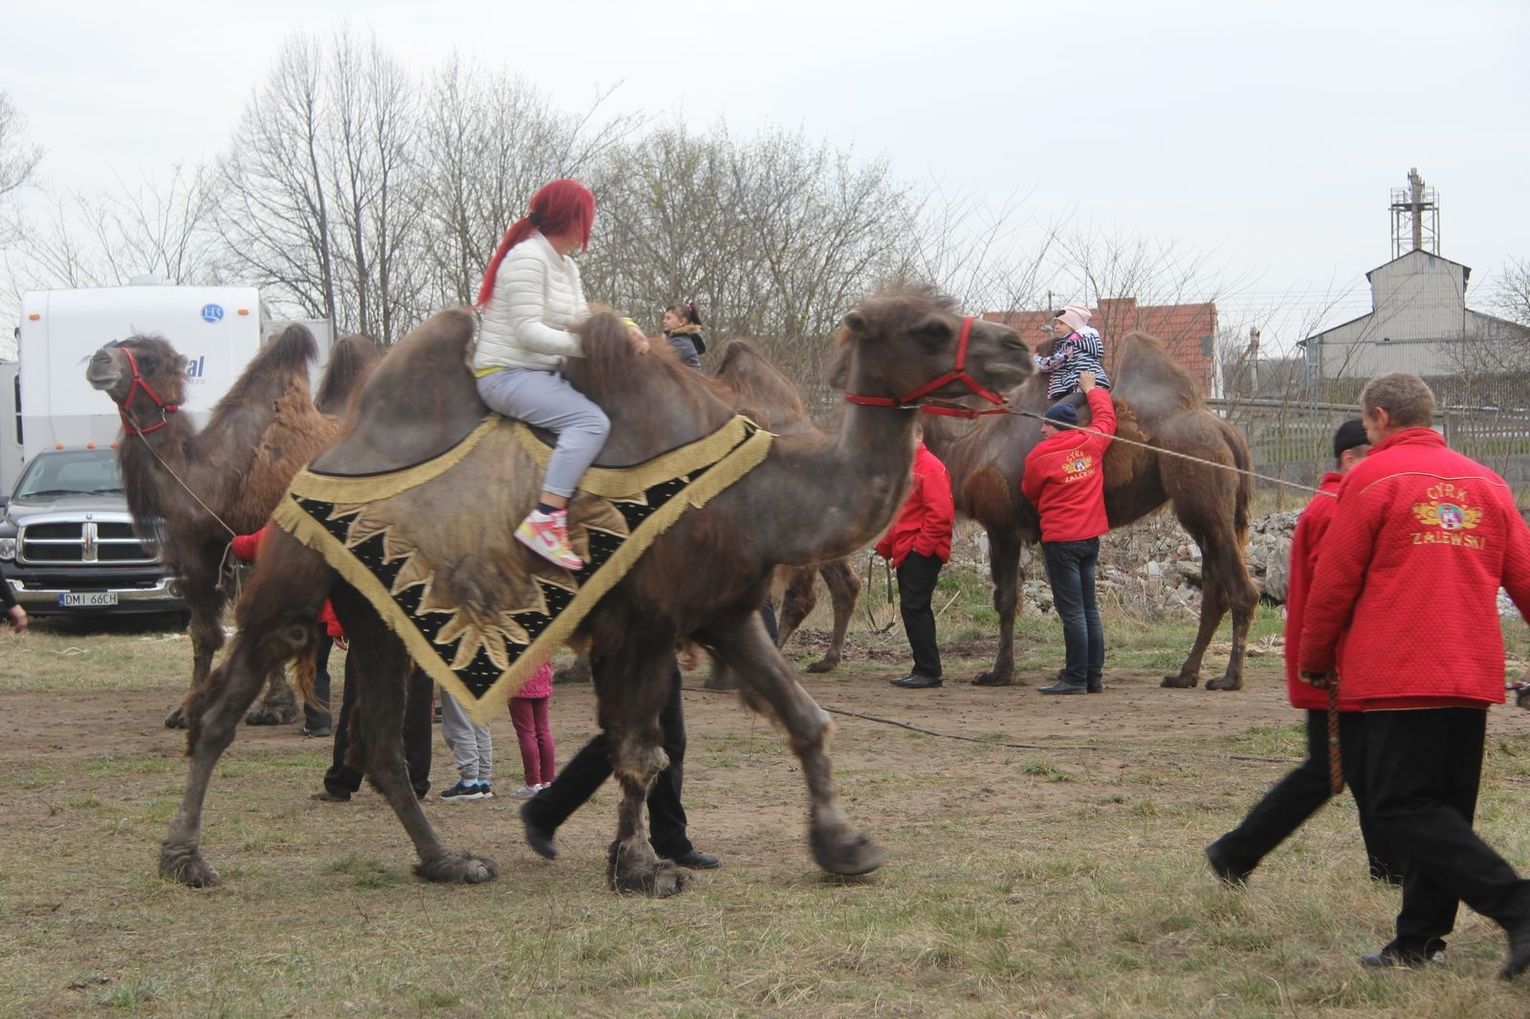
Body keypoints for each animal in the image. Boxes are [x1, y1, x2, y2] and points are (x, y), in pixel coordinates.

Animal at [86, 328, 383, 727]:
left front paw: (274, 707)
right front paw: (186, 708)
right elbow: (204, 635)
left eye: (150, 360)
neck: (217, 481)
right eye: (115, 344)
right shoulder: (198, 556)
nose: (99, 360)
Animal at [157, 288, 1033, 895]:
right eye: (927, 327)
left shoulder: (723, 613)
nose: (1018, 347)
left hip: (377, 612)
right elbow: (640, 750)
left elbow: (804, 720)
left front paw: (844, 846)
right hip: (292, 575)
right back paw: (185, 856)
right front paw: (642, 867)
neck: (761, 493)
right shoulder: (645, 622)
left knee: (378, 743)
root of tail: (323, 455)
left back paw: (447, 861)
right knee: (224, 706)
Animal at [923, 331, 1258, 690]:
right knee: (1214, 592)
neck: (964, 450)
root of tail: (1226, 431)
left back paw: (1229, 678)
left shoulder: (1002, 524)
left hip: (1203, 500)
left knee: (1241, 591)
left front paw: (998, 673)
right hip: (1208, 514)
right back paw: (1184, 675)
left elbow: (1007, 599)